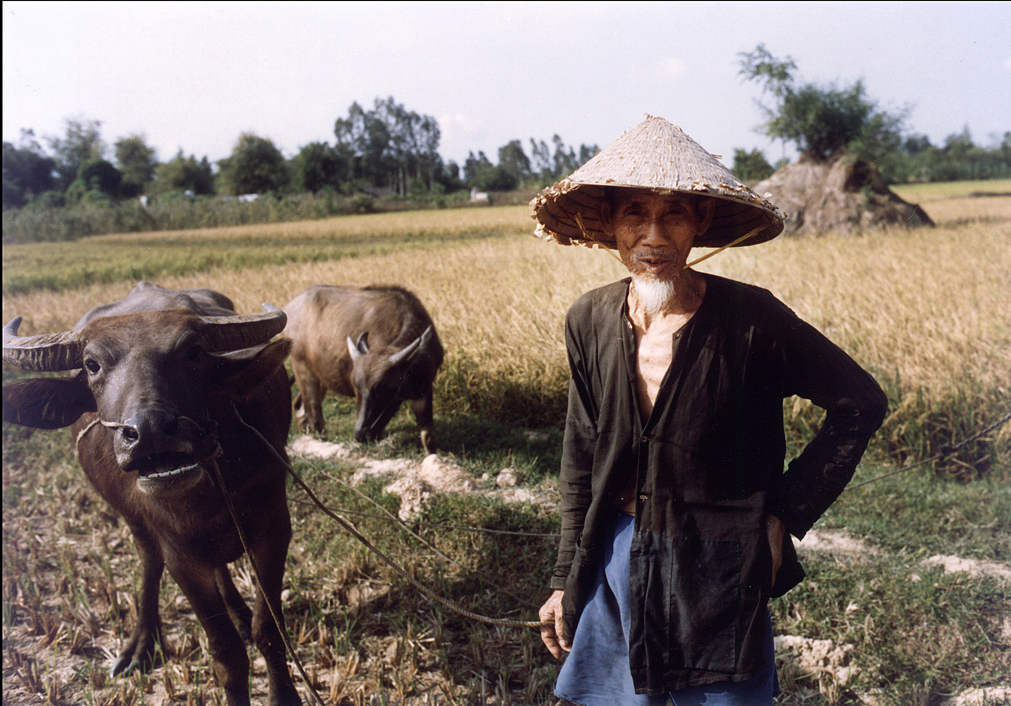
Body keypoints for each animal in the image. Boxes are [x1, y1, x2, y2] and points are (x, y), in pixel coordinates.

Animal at [4, 281, 303, 703]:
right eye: (91, 364)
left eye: (193, 352)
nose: (149, 431)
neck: (209, 494)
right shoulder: (180, 555)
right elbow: (226, 653)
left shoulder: (273, 528)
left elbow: (269, 631)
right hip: (136, 522)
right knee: (149, 562)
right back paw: (141, 645)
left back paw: (239, 613)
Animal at [285, 281, 442, 451]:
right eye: (357, 385)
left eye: (383, 385)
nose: (360, 434)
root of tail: (290, 307)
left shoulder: (423, 389)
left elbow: (428, 437)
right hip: (302, 367)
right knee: (314, 414)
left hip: (320, 376)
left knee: (300, 405)